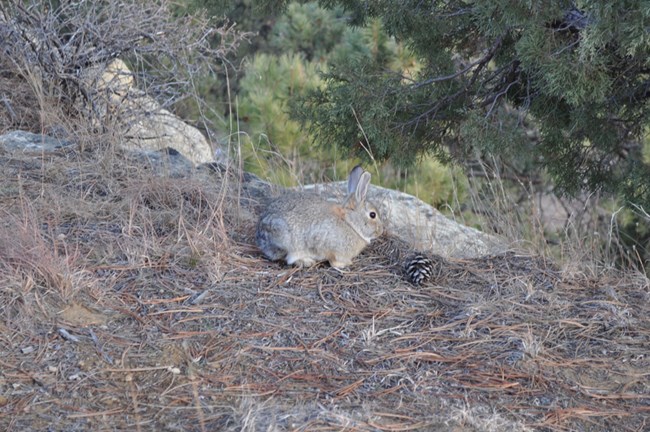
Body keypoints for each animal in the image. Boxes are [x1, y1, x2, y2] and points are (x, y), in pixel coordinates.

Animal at [254, 165, 384, 266]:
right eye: (372, 215)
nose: (380, 231)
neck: (349, 222)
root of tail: (260, 236)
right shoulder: (331, 248)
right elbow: (333, 260)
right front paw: (345, 264)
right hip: (287, 240)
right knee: (289, 258)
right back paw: (307, 261)